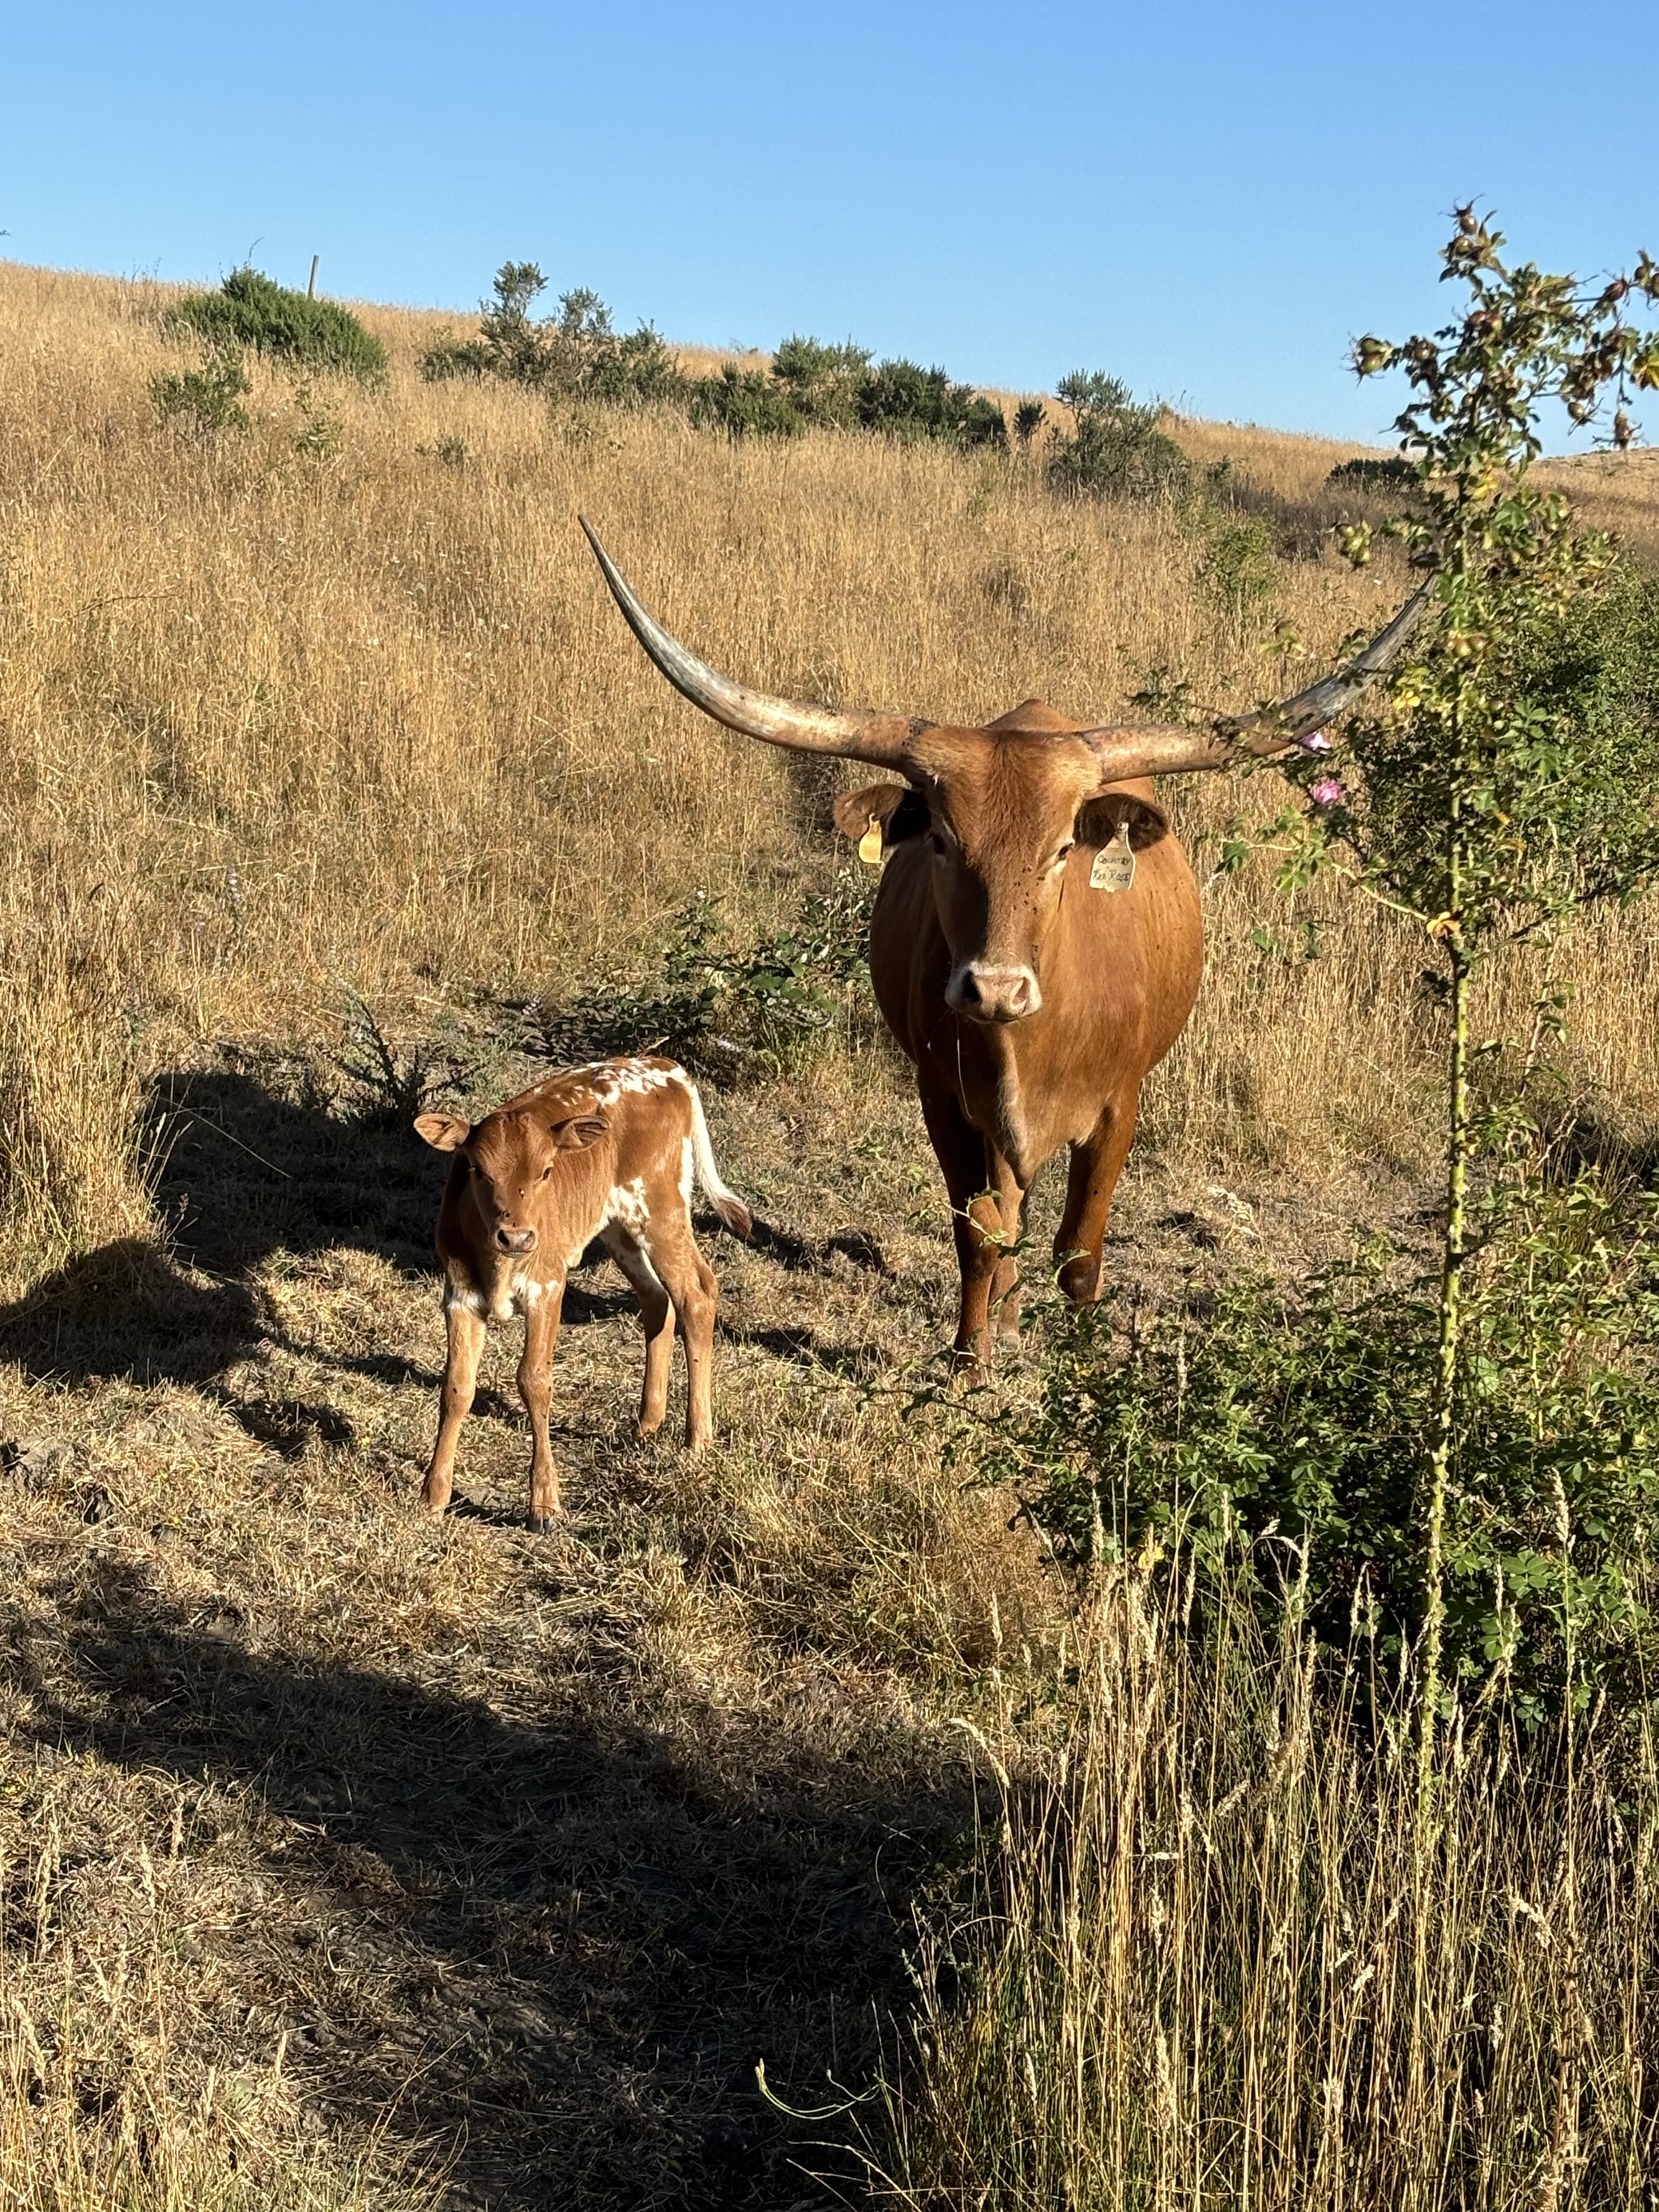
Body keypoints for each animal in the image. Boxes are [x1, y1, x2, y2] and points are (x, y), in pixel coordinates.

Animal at [414, 1057, 752, 1528]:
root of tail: (663, 1066)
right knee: (656, 1299)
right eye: (478, 1171)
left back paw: (697, 1439)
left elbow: (534, 1381)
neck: (498, 1265)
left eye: (546, 1171)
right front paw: (434, 1493)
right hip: (618, 1225)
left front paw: (544, 1501)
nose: (516, 1236)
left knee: (695, 1294)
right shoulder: (459, 1296)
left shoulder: (548, 1287)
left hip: (661, 1210)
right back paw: (647, 1422)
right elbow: (457, 1387)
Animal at [580, 517, 1426, 1370]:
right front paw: (970, 1357)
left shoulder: (1121, 1104)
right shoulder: (944, 1097)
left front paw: (1083, 1364)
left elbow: (1080, 1251)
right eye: (943, 841)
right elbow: (979, 1233)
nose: (995, 990)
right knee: (1009, 1209)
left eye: (1063, 849)